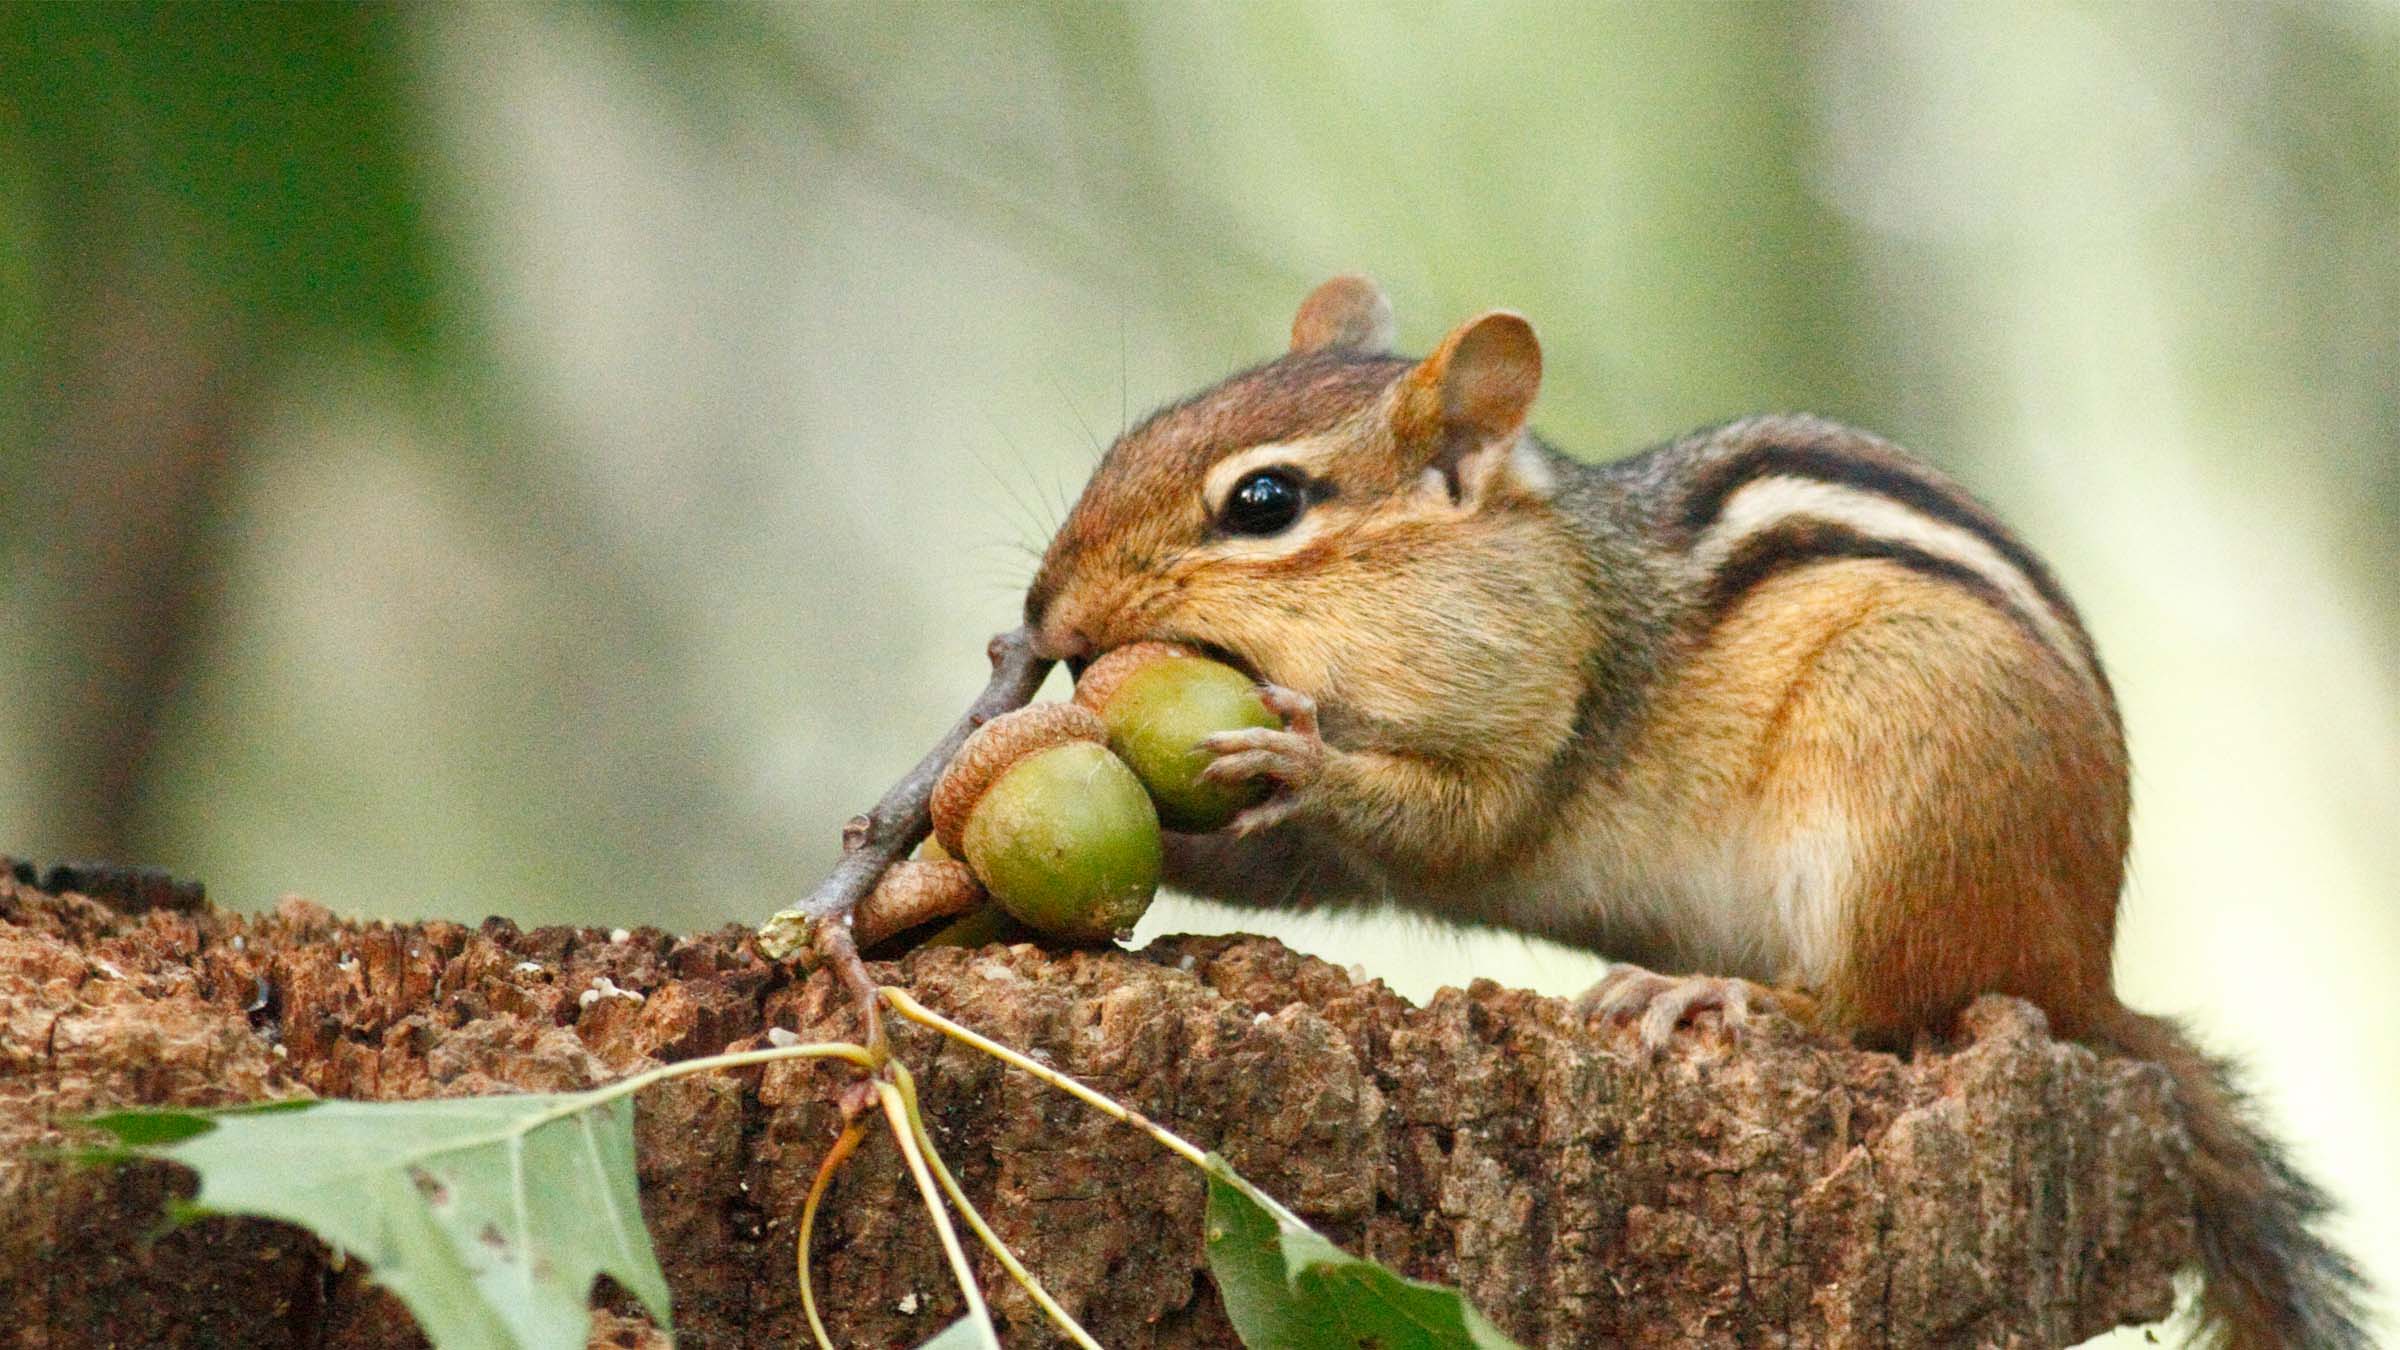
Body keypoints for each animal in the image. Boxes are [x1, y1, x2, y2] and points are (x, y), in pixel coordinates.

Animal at [1020, 275, 2366, 1348]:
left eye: (1264, 502)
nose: (1044, 618)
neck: (1536, 574)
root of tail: (2088, 974)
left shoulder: (1541, 718)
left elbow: (1454, 821)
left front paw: (1302, 756)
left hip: (1900, 787)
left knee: (1876, 1007)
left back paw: (1721, 994)